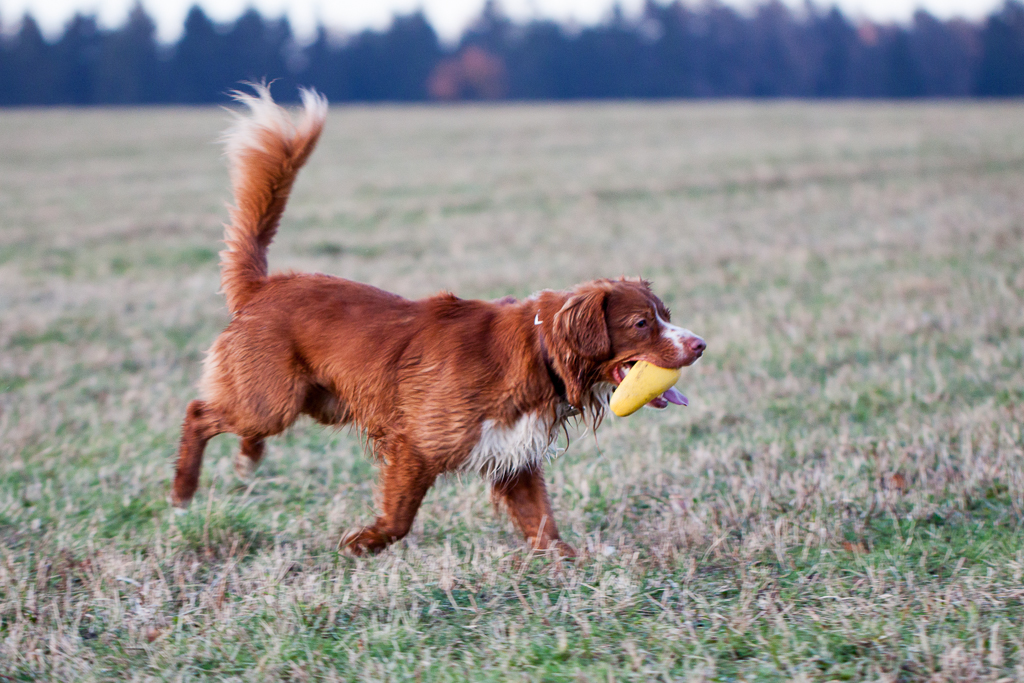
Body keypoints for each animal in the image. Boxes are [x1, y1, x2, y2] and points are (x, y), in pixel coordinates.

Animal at [174, 85, 704, 557]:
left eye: (666, 316)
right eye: (641, 324)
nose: (700, 345)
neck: (539, 352)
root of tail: (262, 287)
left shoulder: (515, 462)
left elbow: (544, 526)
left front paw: (570, 566)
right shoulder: (417, 444)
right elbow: (400, 518)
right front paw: (363, 543)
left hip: (314, 400)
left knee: (241, 425)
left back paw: (247, 460)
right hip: (273, 400)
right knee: (199, 412)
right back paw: (182, 493)